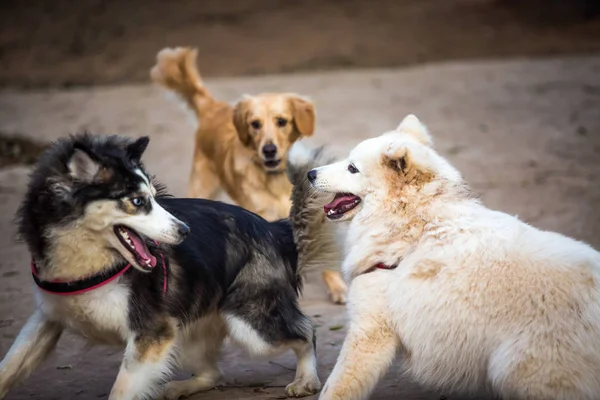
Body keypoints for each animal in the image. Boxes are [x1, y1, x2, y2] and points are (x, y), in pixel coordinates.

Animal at [312, 114, 600, 398]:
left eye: (352, 168)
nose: (310, 173)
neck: (415, 228)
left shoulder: (369, 332)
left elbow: (336, 387)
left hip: (516, 371)